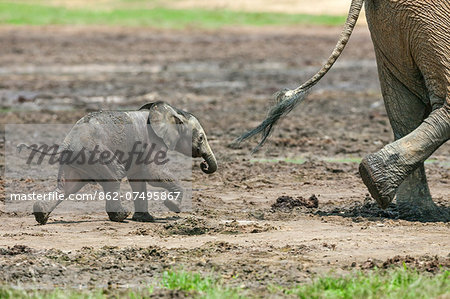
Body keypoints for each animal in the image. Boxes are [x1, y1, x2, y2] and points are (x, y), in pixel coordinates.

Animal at [20, 102, 217, 225]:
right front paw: (172, 207)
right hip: (96, 153)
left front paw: (145, 219)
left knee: (67, 187)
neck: (171, 112)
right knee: (114, 177)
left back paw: (41, 215)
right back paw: (121, 216)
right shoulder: (153, 141)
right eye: (201, 138)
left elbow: (139, 179)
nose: (204, 165)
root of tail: (67, 142)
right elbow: (153, 174)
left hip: (75, 159)